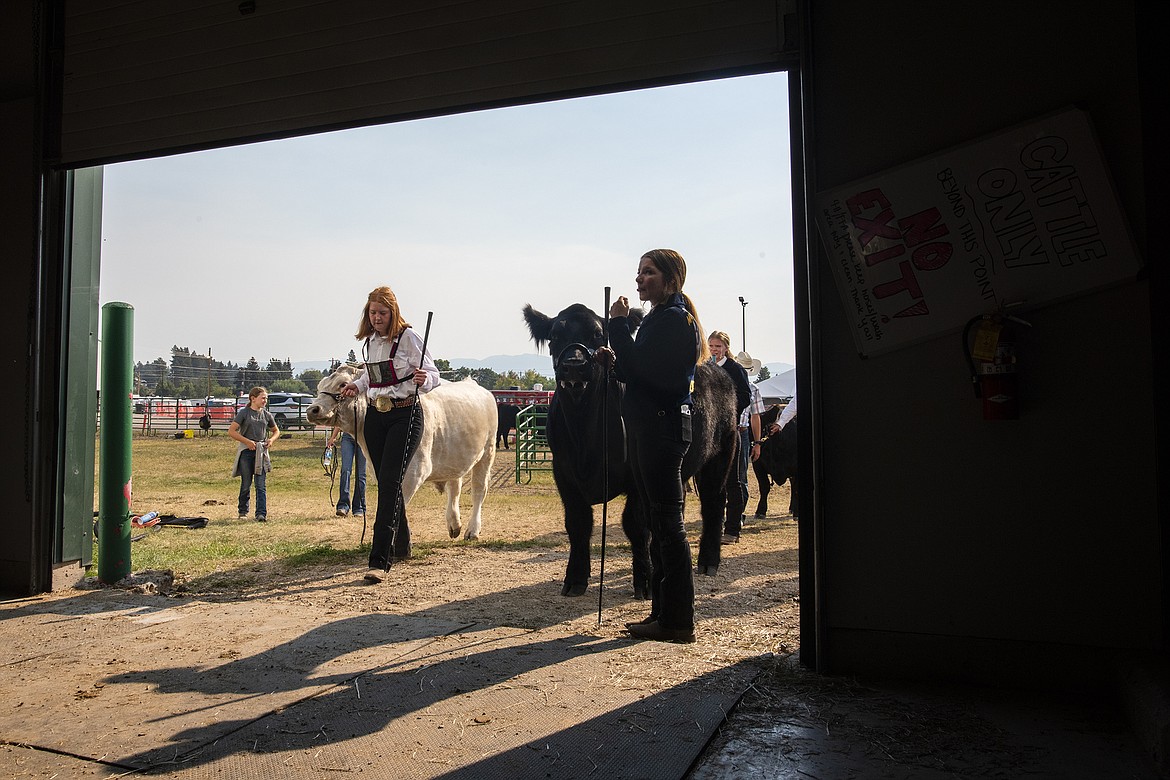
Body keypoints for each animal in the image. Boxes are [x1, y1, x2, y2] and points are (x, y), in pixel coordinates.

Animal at [304, 367, 496, 540]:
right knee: (454, 488)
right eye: (320, 385)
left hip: (487, 452)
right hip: (454, 457)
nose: (312, 409)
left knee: (479, 490)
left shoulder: (414, 471)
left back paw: (473, 530)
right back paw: (454, 525)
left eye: (343, 384)